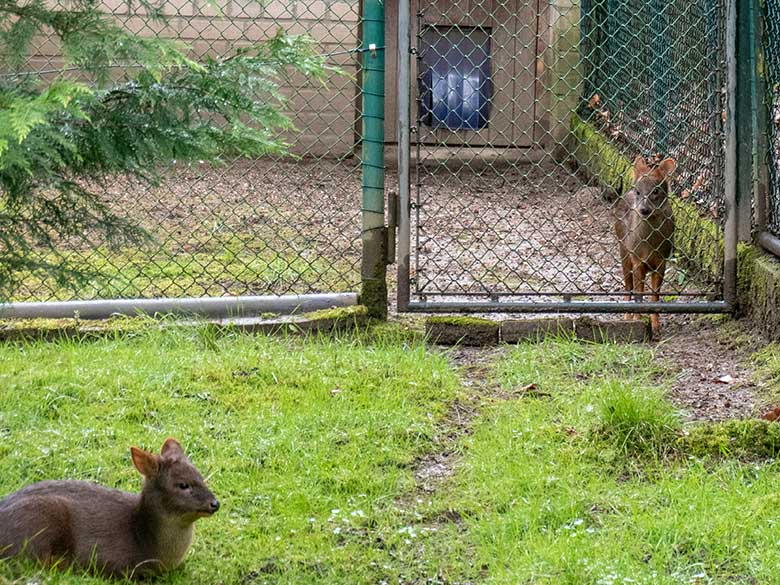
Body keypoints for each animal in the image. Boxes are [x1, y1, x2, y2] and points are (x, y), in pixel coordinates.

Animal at [616, 155, 676, 334]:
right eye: (638, 191)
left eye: (656, 190)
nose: (643, 209)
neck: (649, 246)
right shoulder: (637, 260)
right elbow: (638, 294)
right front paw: (636, 319)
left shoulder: (662, 261)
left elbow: (654, 296)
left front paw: (656, 327)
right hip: (623, 251)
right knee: (627, 286)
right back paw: (626, 317)